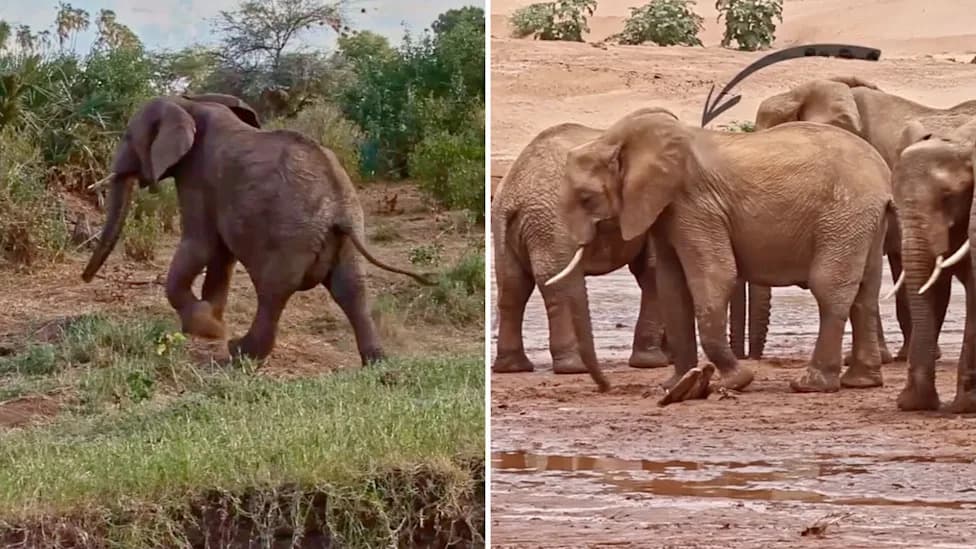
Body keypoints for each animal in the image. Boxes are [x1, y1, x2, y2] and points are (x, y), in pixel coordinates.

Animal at [81, 93, 430, 363]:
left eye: (127, 137)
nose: (85, 278)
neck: (189, 103)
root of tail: (340, 208)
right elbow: (220, 257)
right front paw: (208, 324)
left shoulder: (197, 177)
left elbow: (200, 245)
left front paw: (208, 329)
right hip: (345, 234)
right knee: (352, 289)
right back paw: (376, 363)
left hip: (291, 238)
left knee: (273, 292)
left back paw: (240, 353)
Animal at [491, 117, 671, 391]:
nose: (606, 388)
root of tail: (512, 194)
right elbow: (653, 270)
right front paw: (654, 363)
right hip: (552, 225)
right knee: (558, 285)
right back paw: (572, 368)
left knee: (513, 288)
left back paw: (513, 367)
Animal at [549, 108, 894, 394]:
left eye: (586, 198)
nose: (606, 388)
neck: (612, 138)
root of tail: (883, 174)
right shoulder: (665, 210)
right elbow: (672, 286)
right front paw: (675, 386)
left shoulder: (695, 205)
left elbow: (714, 277)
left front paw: (735, 382)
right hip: (866, 222)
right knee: (866, 292)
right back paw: (861, 382)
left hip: (845, 214)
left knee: (829, 288)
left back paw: (810, 386)